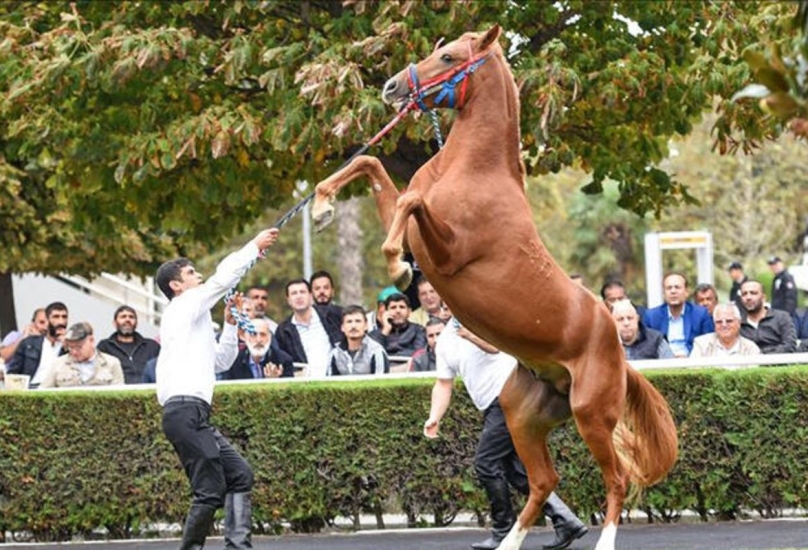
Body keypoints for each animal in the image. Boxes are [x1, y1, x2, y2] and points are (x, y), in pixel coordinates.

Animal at [312, 24, 680, 550]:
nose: (391, 88)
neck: (472, 169)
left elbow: (409, 202)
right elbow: (375, 168)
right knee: (544, 481)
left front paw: (396, 269)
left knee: (616, 480)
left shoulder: (448, 252)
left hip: (592, 415)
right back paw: (509, 542)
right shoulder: (423, 241)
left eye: (448, 56)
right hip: (523, 416)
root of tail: (617, 348)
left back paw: (602, 540)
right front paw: (321, 206)